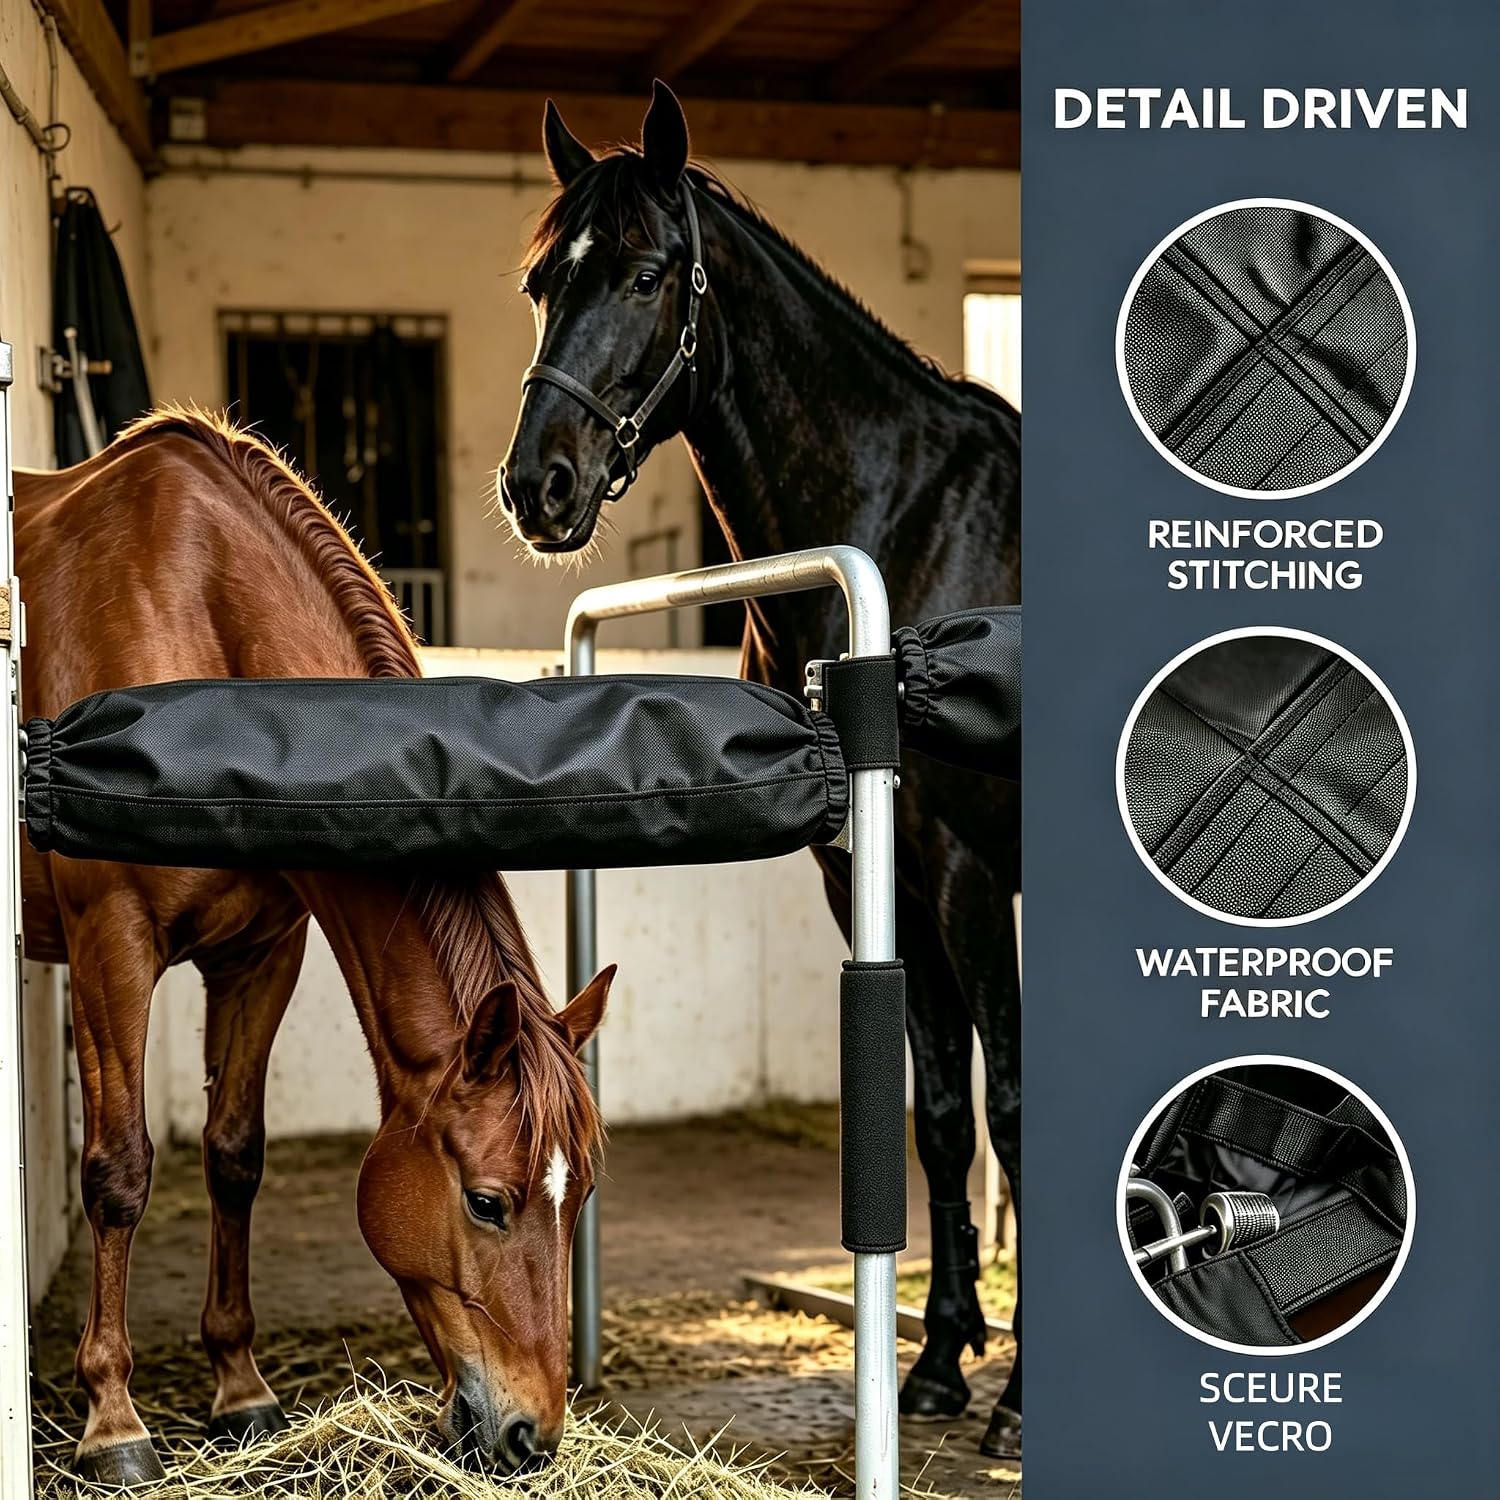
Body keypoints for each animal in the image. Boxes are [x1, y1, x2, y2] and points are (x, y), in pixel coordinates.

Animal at [16, 411, 612, 1486]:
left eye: (579, 1189)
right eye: (488, 1202)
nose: (530, 1438)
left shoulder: (263, 954)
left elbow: (234, 1156)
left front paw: (241, 1388)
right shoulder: (111, 945)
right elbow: (120, 1170)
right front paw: (115, 1420)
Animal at [497, 84, 1023, 1453]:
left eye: (643, 273)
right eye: (539, 282)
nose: (537, 486)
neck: (914, 525)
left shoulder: (970, 872)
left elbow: (1004, 1105)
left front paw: (1012, 1400)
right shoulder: (869, 873)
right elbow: (938, 1114)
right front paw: (939, 1363)